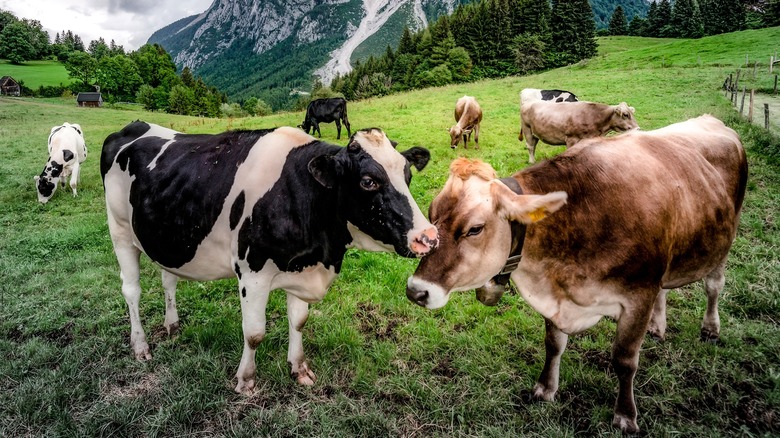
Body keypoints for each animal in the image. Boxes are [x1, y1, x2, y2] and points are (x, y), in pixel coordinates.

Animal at [101, 120, 438, 394]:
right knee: (131, 291)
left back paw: (172, 325)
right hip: (120, 232)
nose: (429, 237)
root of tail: (133, 126)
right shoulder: (252, 273)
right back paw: (140, 346)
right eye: (368, 181)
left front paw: (299, 369)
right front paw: (245, 380)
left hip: (165, 236)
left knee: (168, 279)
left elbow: (299, 321)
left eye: (407, 175)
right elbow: (254, 333)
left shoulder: (301, 268)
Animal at [406, 114, 748, 432]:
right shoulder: (558, 295)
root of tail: (711, 121)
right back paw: (657, 326)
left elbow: (625, 360)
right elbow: (554, 344)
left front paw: (626, 415)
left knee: (714, 286)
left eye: (475, 229)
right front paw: (545, 388)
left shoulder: (639, 295)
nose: (416, 290)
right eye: (432, 214)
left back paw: (710, 328)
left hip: (722, 243)